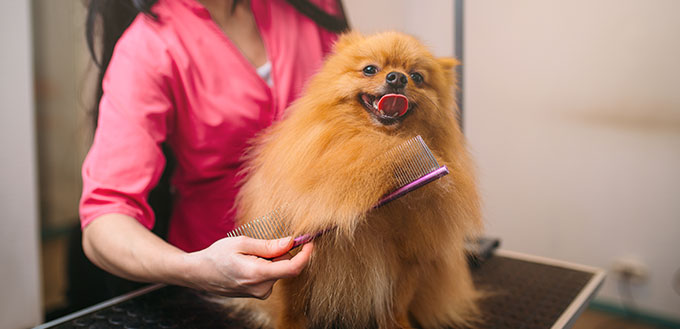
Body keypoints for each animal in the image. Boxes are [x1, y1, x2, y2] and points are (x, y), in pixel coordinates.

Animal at [234, 31, 484, 328]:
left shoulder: (408, 258)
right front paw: (290, 325)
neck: (379, 146)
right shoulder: (298, 258)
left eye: (417, 76)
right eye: (369, 69)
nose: (397, 78)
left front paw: (398, 324)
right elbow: (292, 306)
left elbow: (397, 304)